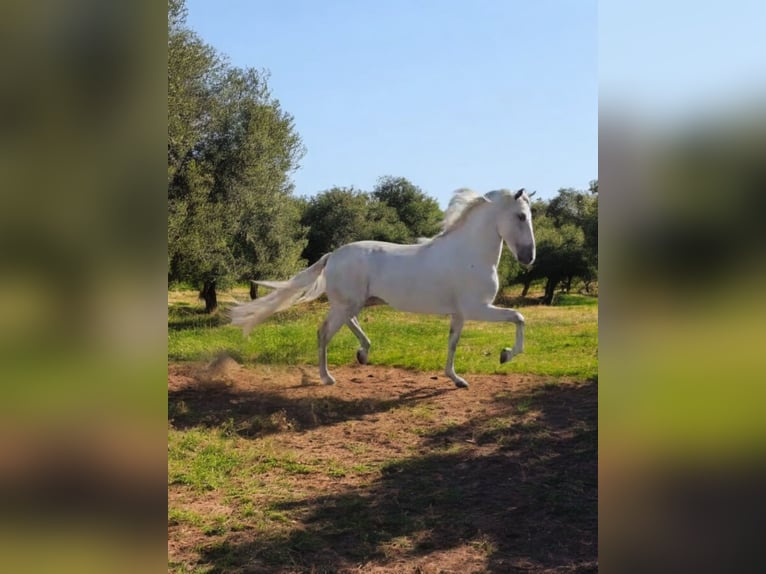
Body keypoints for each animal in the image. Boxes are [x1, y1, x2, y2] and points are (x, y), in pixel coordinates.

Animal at [231, 187, 536, 390]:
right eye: (521, 216)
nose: (529, 258)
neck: (470, 254)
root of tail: (333, 255)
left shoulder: (459, 314)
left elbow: (452, 344)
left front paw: (456, 379)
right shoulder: (478, 308)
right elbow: (519, 318)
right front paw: (505, 355)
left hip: (355, 302)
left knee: (348, 324)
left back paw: (363, 353)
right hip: (347, 304)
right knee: (324, 332)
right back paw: (327, 377)